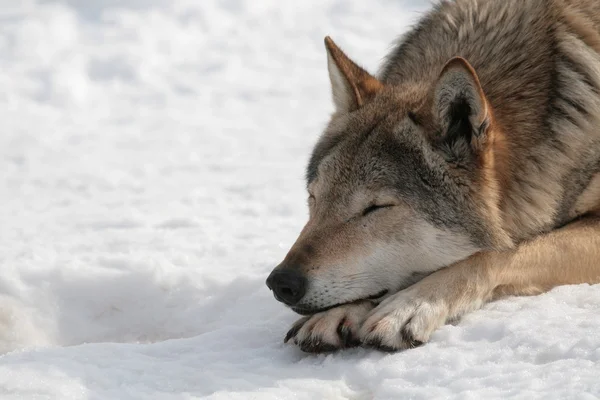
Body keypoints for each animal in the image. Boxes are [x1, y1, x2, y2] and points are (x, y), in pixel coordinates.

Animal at [266, 0, 600, 352]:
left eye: (376, 208)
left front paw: (411, 305)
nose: (280, 282)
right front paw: (336, 313)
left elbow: (493, 255)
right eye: (314, 199)